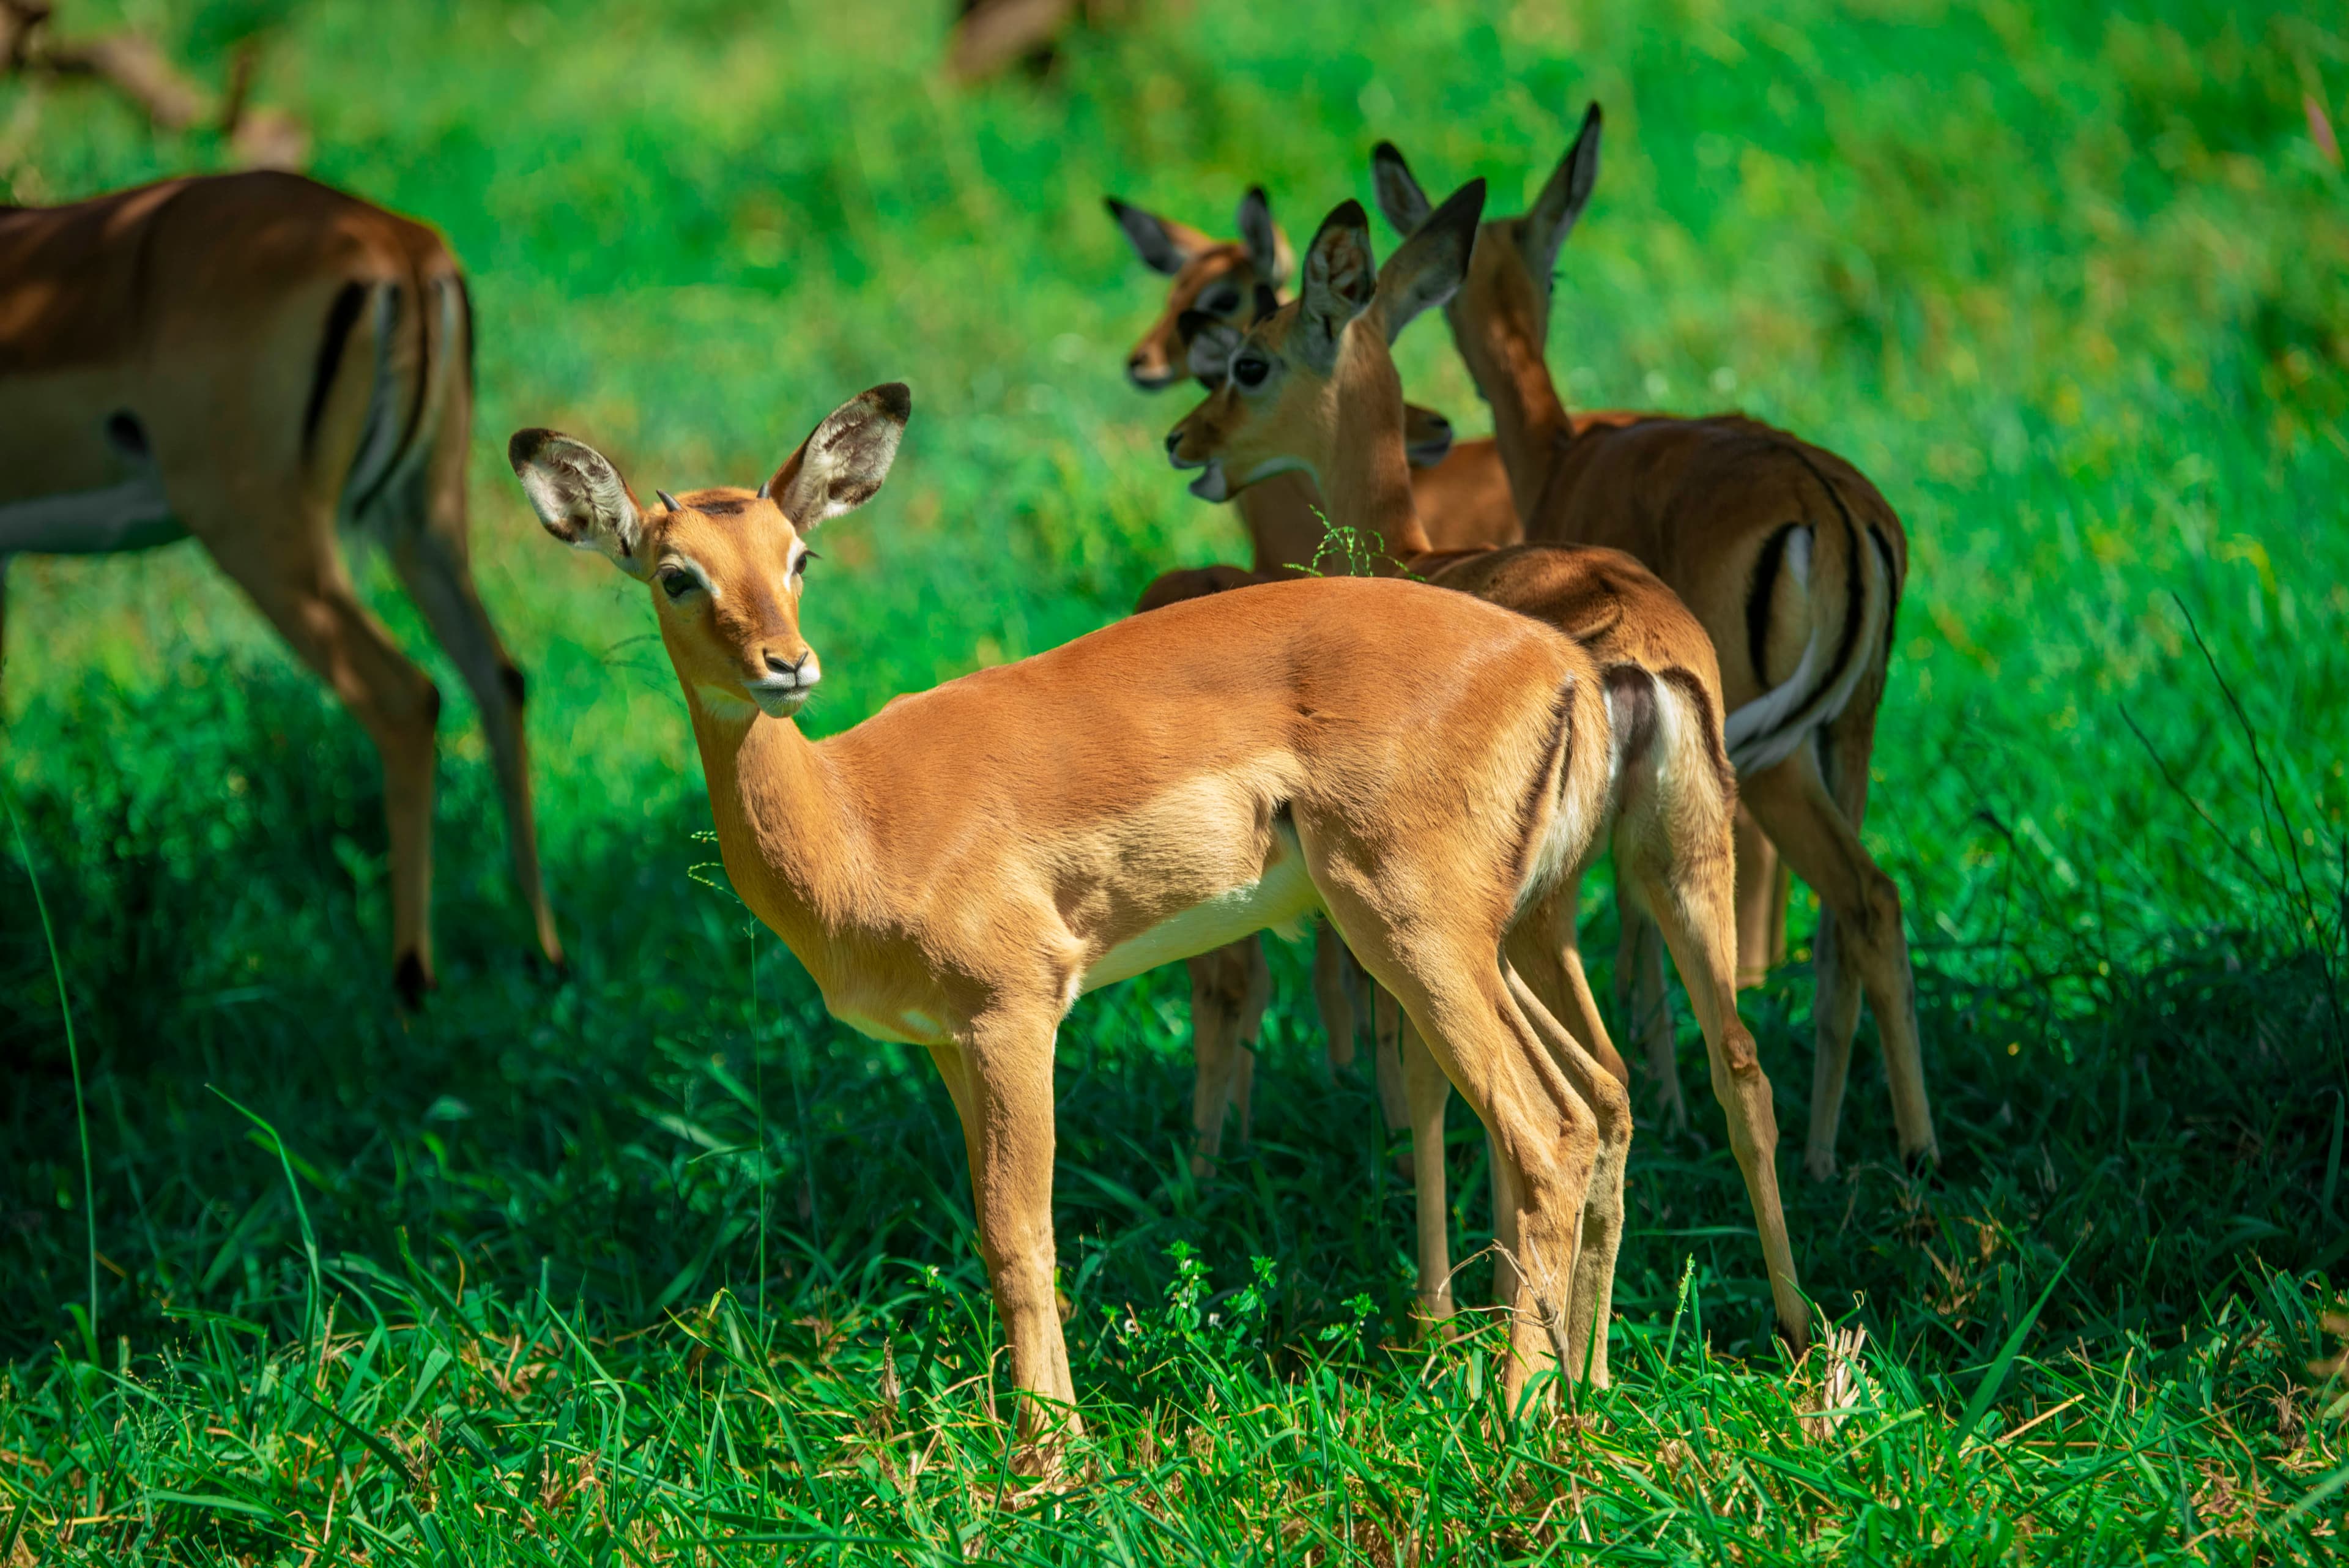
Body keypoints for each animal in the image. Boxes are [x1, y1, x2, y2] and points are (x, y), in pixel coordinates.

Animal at [0, 170, 561, 1003]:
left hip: (262, 533)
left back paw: (409, 987)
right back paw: (545, 954)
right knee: (499, 676)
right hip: (423, 518)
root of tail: (394, 240)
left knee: (407, 695)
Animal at [511, 383, 1632, 1438]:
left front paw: (1050, 1456)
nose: (785, 666)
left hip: (1417, 931)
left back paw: (1516, 1413)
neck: (855, 815)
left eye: (798, 554)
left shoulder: (1016, 1012)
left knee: (1544, 1129)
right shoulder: (948, 1040)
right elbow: (988, 1228)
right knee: (1603, 1099)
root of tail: (1560, 664)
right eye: (677, 573)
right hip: (1499, 941)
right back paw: (1585, 1383)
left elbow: (1024, 1232)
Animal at [1167, 181, 1805, 1360]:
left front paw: (1437, 1311)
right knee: (1730, 1065)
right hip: (1680, 869)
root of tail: (1637, 661)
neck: (1414, 556)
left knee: (1583, 1093)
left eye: (1253, 360)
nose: (1187, 438)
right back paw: (1782, 1326)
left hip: (1532, 917)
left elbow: (1425, 1079)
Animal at [1373, 105, 1933, 1178]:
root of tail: (1828, 505)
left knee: (1846, 900)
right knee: (1863, 913)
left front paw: (1666, 1101)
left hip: (1767, 758)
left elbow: (1635, 929)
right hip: (1849, 732)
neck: (1565, 451)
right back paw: (1873, 1146)